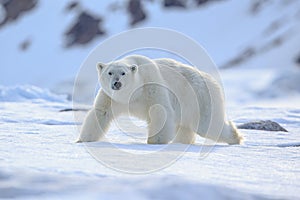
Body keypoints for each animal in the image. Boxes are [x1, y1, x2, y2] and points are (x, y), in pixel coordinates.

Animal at [76, 54, 243, 145]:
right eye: (109, 72)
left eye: (123, 73)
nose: (117, 83)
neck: (132, 93)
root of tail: (213, 81)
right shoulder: (111, 98)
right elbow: (101, 113)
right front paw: (82, 140)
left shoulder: (151, 85)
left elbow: (160, 112)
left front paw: (154, 141)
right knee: (186, 127)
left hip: (199, 98)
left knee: (208, 124)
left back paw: (236, 138)